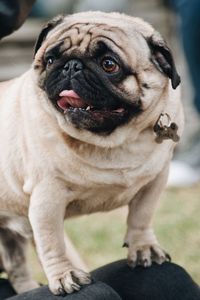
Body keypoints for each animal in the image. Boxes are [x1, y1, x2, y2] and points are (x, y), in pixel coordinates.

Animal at [0, 11, 184, 296]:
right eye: (50, 60)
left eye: (109, 64)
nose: (71, 66)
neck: (111, 141)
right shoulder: (47, 197)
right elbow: (52, 242)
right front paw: (64, 275)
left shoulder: (155, 179)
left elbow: (141, 215)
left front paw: (143, 247)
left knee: (15, 263)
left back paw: (28, 287)